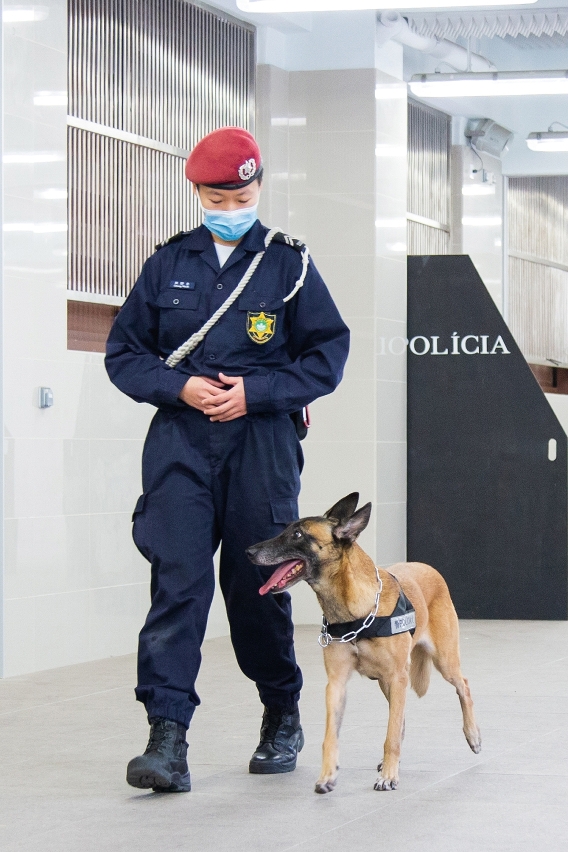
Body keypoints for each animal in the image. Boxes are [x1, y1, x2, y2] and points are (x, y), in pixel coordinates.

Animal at [246, 493, 481, 793]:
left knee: (463, 685)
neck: (354, 611)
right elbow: (331, 736)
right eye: (286, 529)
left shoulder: (397, 676)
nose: (249, 552)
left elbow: (390, 734)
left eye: (297, 534)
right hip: (387, 683)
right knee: (401, 718)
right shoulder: (337, 684)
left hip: (441, 662)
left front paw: (389, 776)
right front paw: (328, 775)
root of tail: (427, 567)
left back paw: (473, 735)